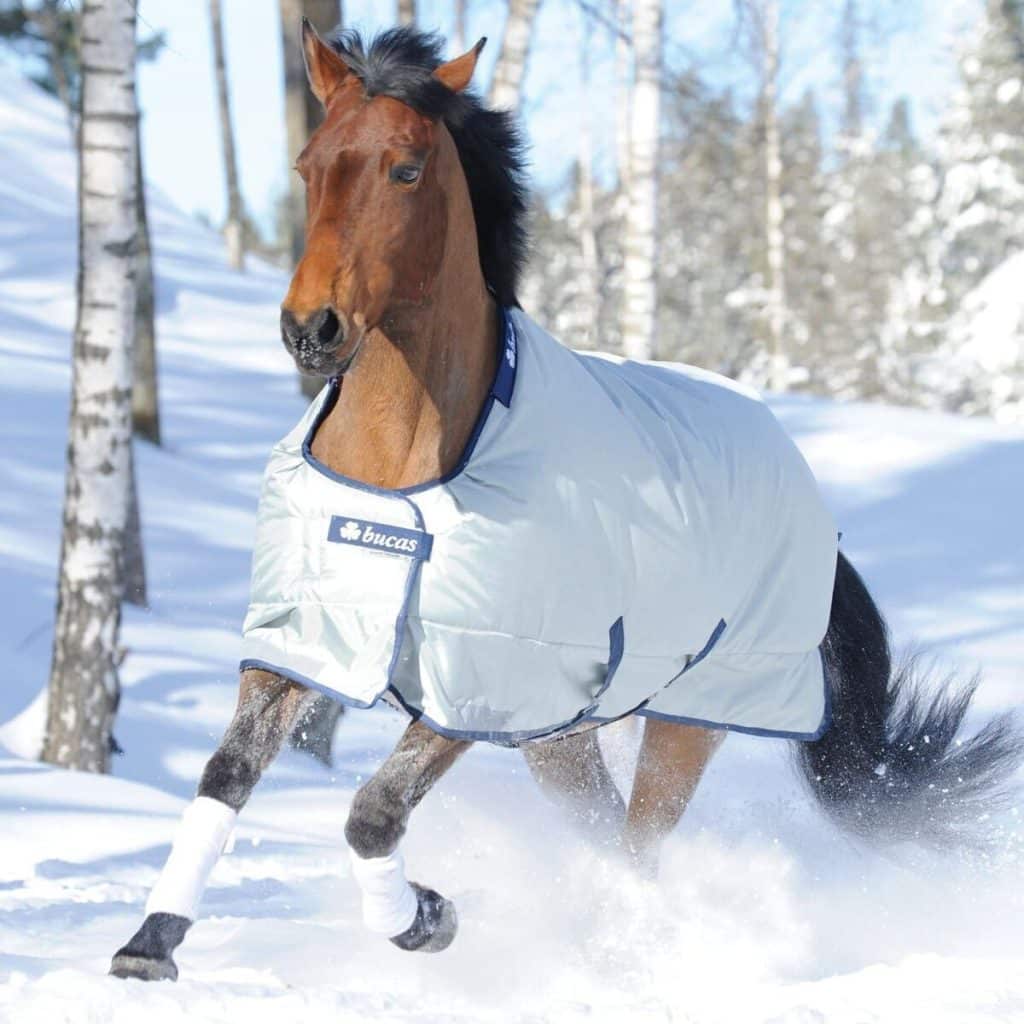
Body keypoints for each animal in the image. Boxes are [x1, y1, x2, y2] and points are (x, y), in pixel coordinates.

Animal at [110, 23, 1020, 982]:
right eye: (308, 164)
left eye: (406, 169)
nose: (310, 329)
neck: (405, 478)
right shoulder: (302, 643)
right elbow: (226, 775)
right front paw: (149, 945)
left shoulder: (478, 691)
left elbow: (372, 813)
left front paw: (425, 917)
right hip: (563, 737)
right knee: (607, 834)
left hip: (684, 724)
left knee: (639, 840)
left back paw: (631, 954)